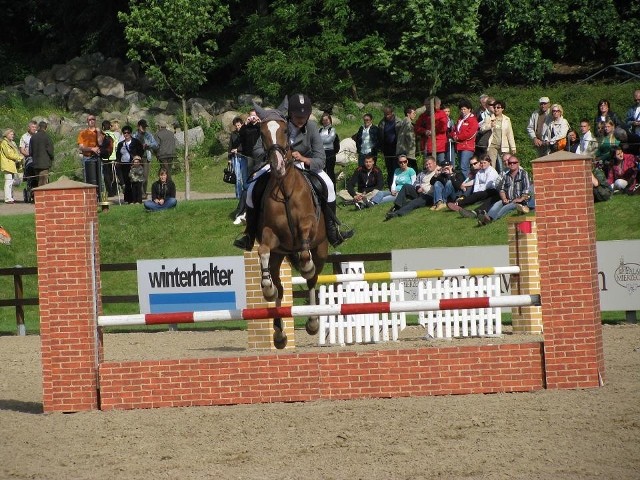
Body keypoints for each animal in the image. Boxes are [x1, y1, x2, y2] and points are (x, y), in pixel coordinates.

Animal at [255, 109, 328, 348]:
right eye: (262, 133)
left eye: (285, 131)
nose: (277, 166)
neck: (285, 189)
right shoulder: (271, 234)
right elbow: (263, 250)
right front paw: (266, 288)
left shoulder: (307, 225)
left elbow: (305, 251)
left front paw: (307, 266)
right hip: (279, 256)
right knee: (280, 287)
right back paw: (279, 333)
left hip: (322, 249)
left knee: (313, 279)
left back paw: (313, 323)